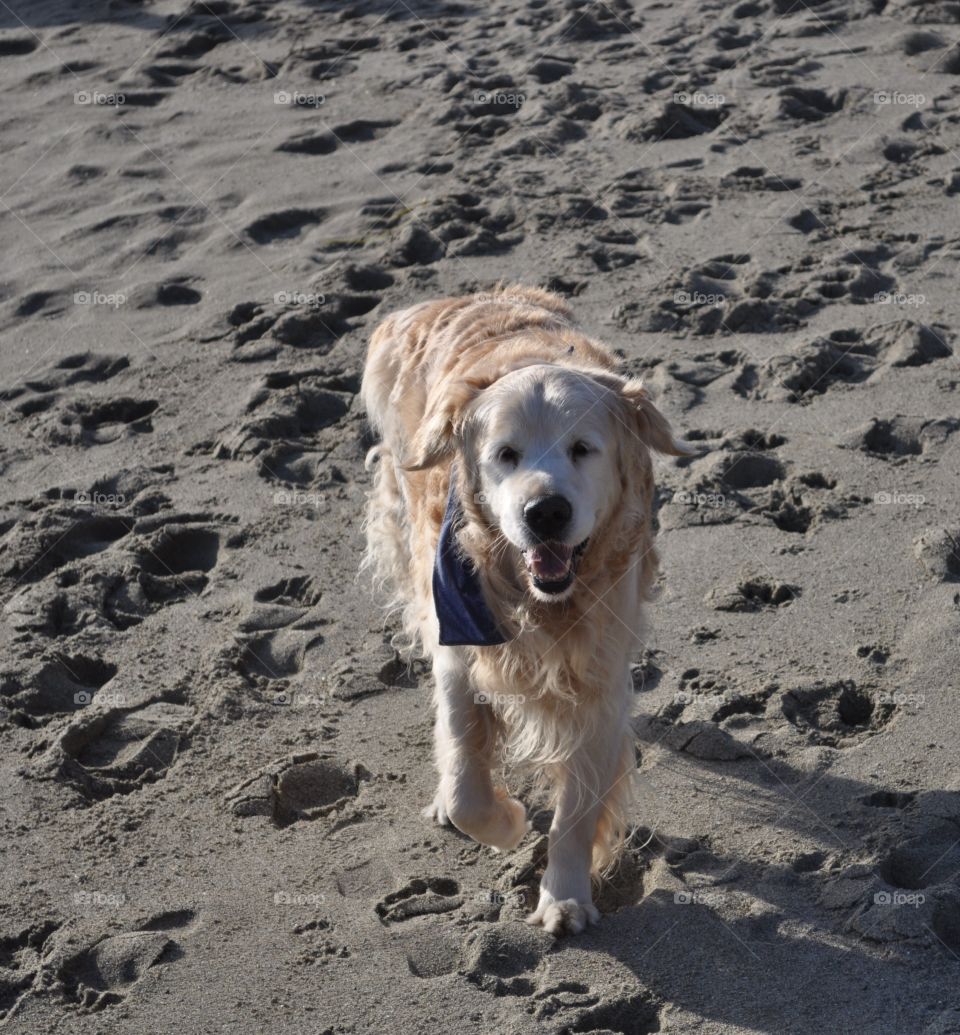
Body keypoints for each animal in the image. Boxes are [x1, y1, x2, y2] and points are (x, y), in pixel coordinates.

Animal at [357, 285, 682, 939]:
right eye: (505, 455)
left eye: (583, 449)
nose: (545, 511)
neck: (545, 603)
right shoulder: (460, 645)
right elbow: (465, 778)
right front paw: (503, 824)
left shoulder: (601, 674)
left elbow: (576, 811)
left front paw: (565, 896)